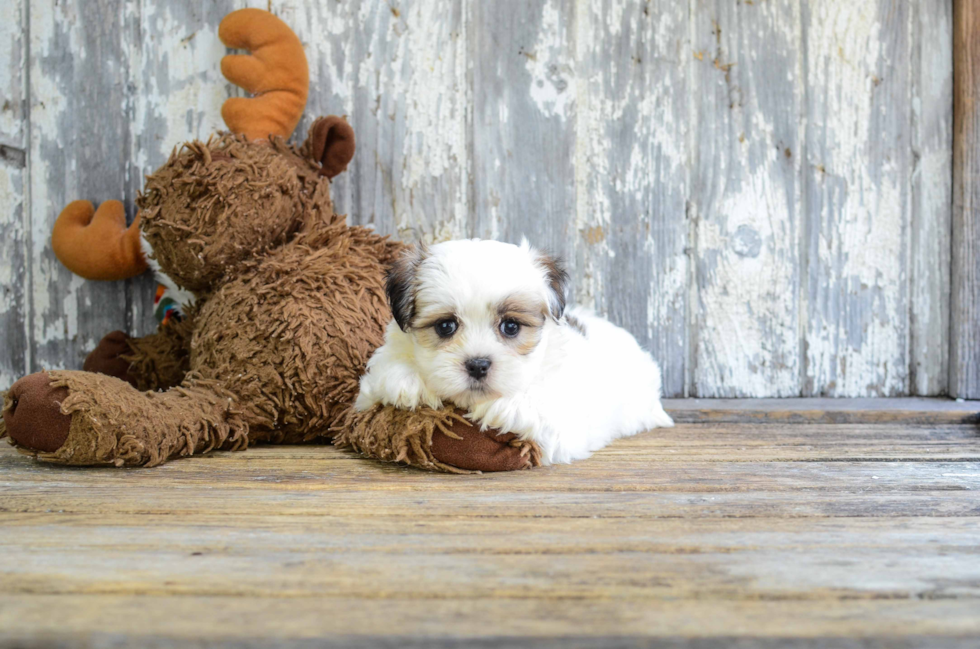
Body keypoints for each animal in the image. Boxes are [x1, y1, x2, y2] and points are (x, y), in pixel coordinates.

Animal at [354, 240, 672, 464]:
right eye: (446, 326)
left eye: (510, 326)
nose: (478, 365)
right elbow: (387, 374)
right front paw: (408, 382)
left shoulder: (560, 421)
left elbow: (531, 408)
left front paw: (500, 406)